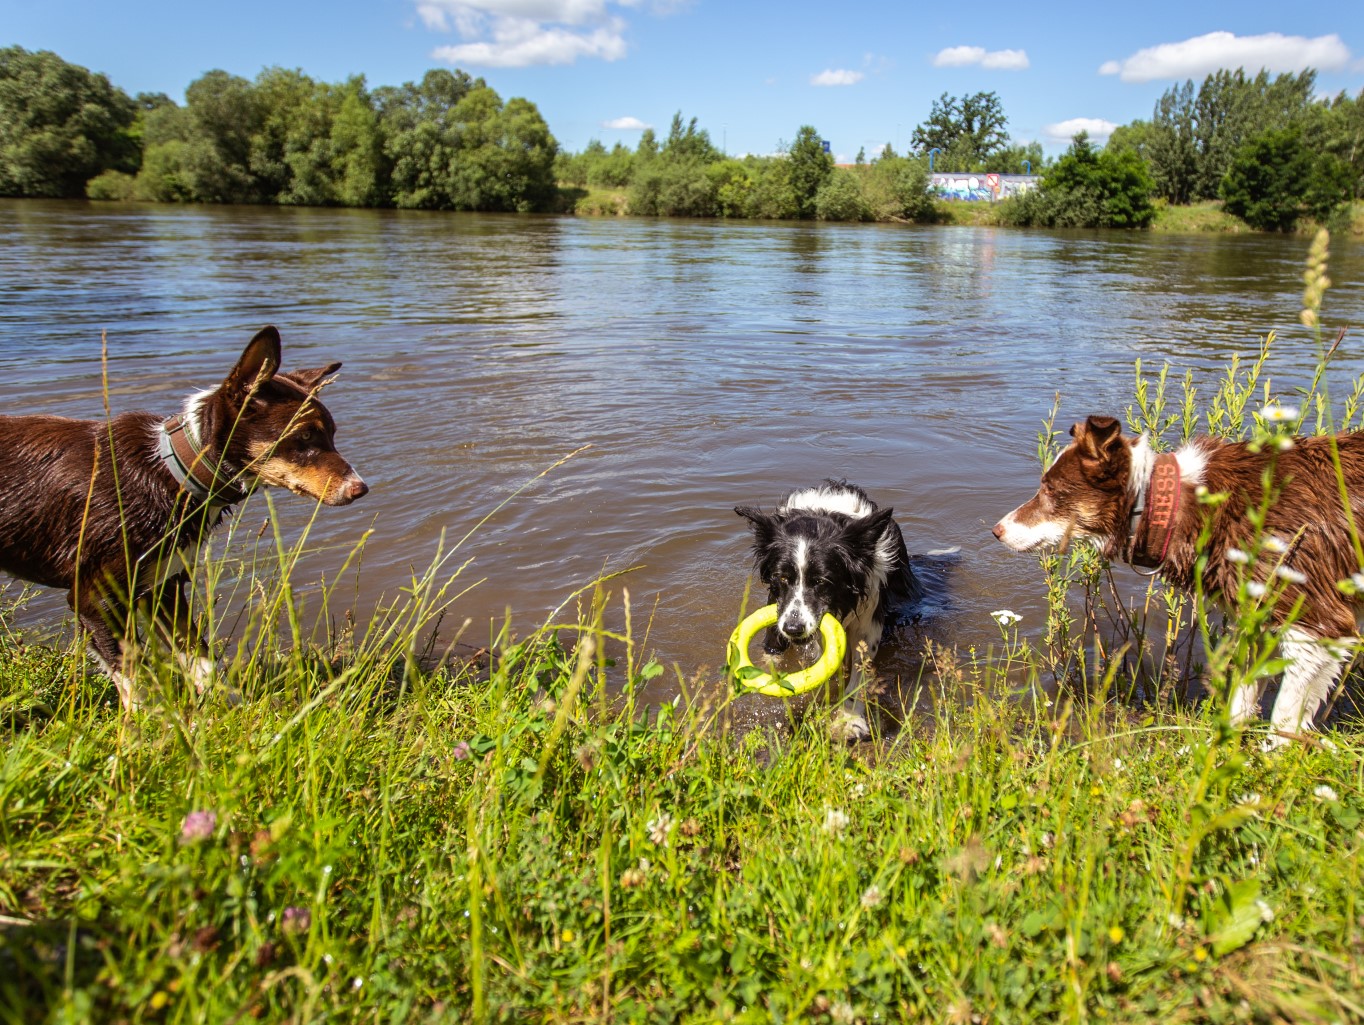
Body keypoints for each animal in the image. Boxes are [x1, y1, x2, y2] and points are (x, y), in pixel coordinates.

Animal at [0, 326, 368, 704]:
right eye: (305, 435)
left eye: (333, 434)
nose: (360, 488)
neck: (174, 472)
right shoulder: (95, 599)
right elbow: (135, 679)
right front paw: (148, 720)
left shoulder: (163, 586)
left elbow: (200, 656)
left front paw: (228, 709)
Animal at [736, 480, 916, 737]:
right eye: (782, 577)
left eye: (821, 581)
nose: (793, 628)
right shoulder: (776, 608)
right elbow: (773, 652)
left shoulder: (868, 621)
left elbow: (859, 671)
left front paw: (849, 720)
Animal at [992, 414, 1364, 747]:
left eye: (1051, 489)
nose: (997, 531)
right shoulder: (1255, 617)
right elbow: (1242, 695)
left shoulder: (1317, 625)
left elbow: (1284, 720)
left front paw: (1267, 767)